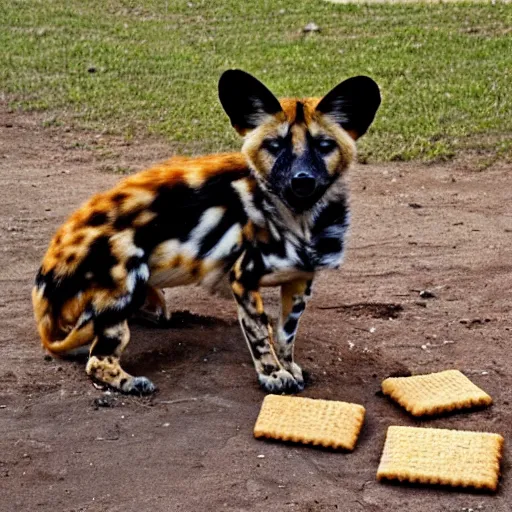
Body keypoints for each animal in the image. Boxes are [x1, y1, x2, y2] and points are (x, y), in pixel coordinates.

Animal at [31, 70, 376, 394]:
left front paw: (287, 366)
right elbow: (260, 334)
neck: (299, 219)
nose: (302, 180)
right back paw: (131, 383)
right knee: (97, 361)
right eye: (275, 147)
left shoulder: (300, 281)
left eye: (324, 146)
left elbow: (284, 335)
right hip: (127, 276)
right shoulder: (244, 279)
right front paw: (273, 375)